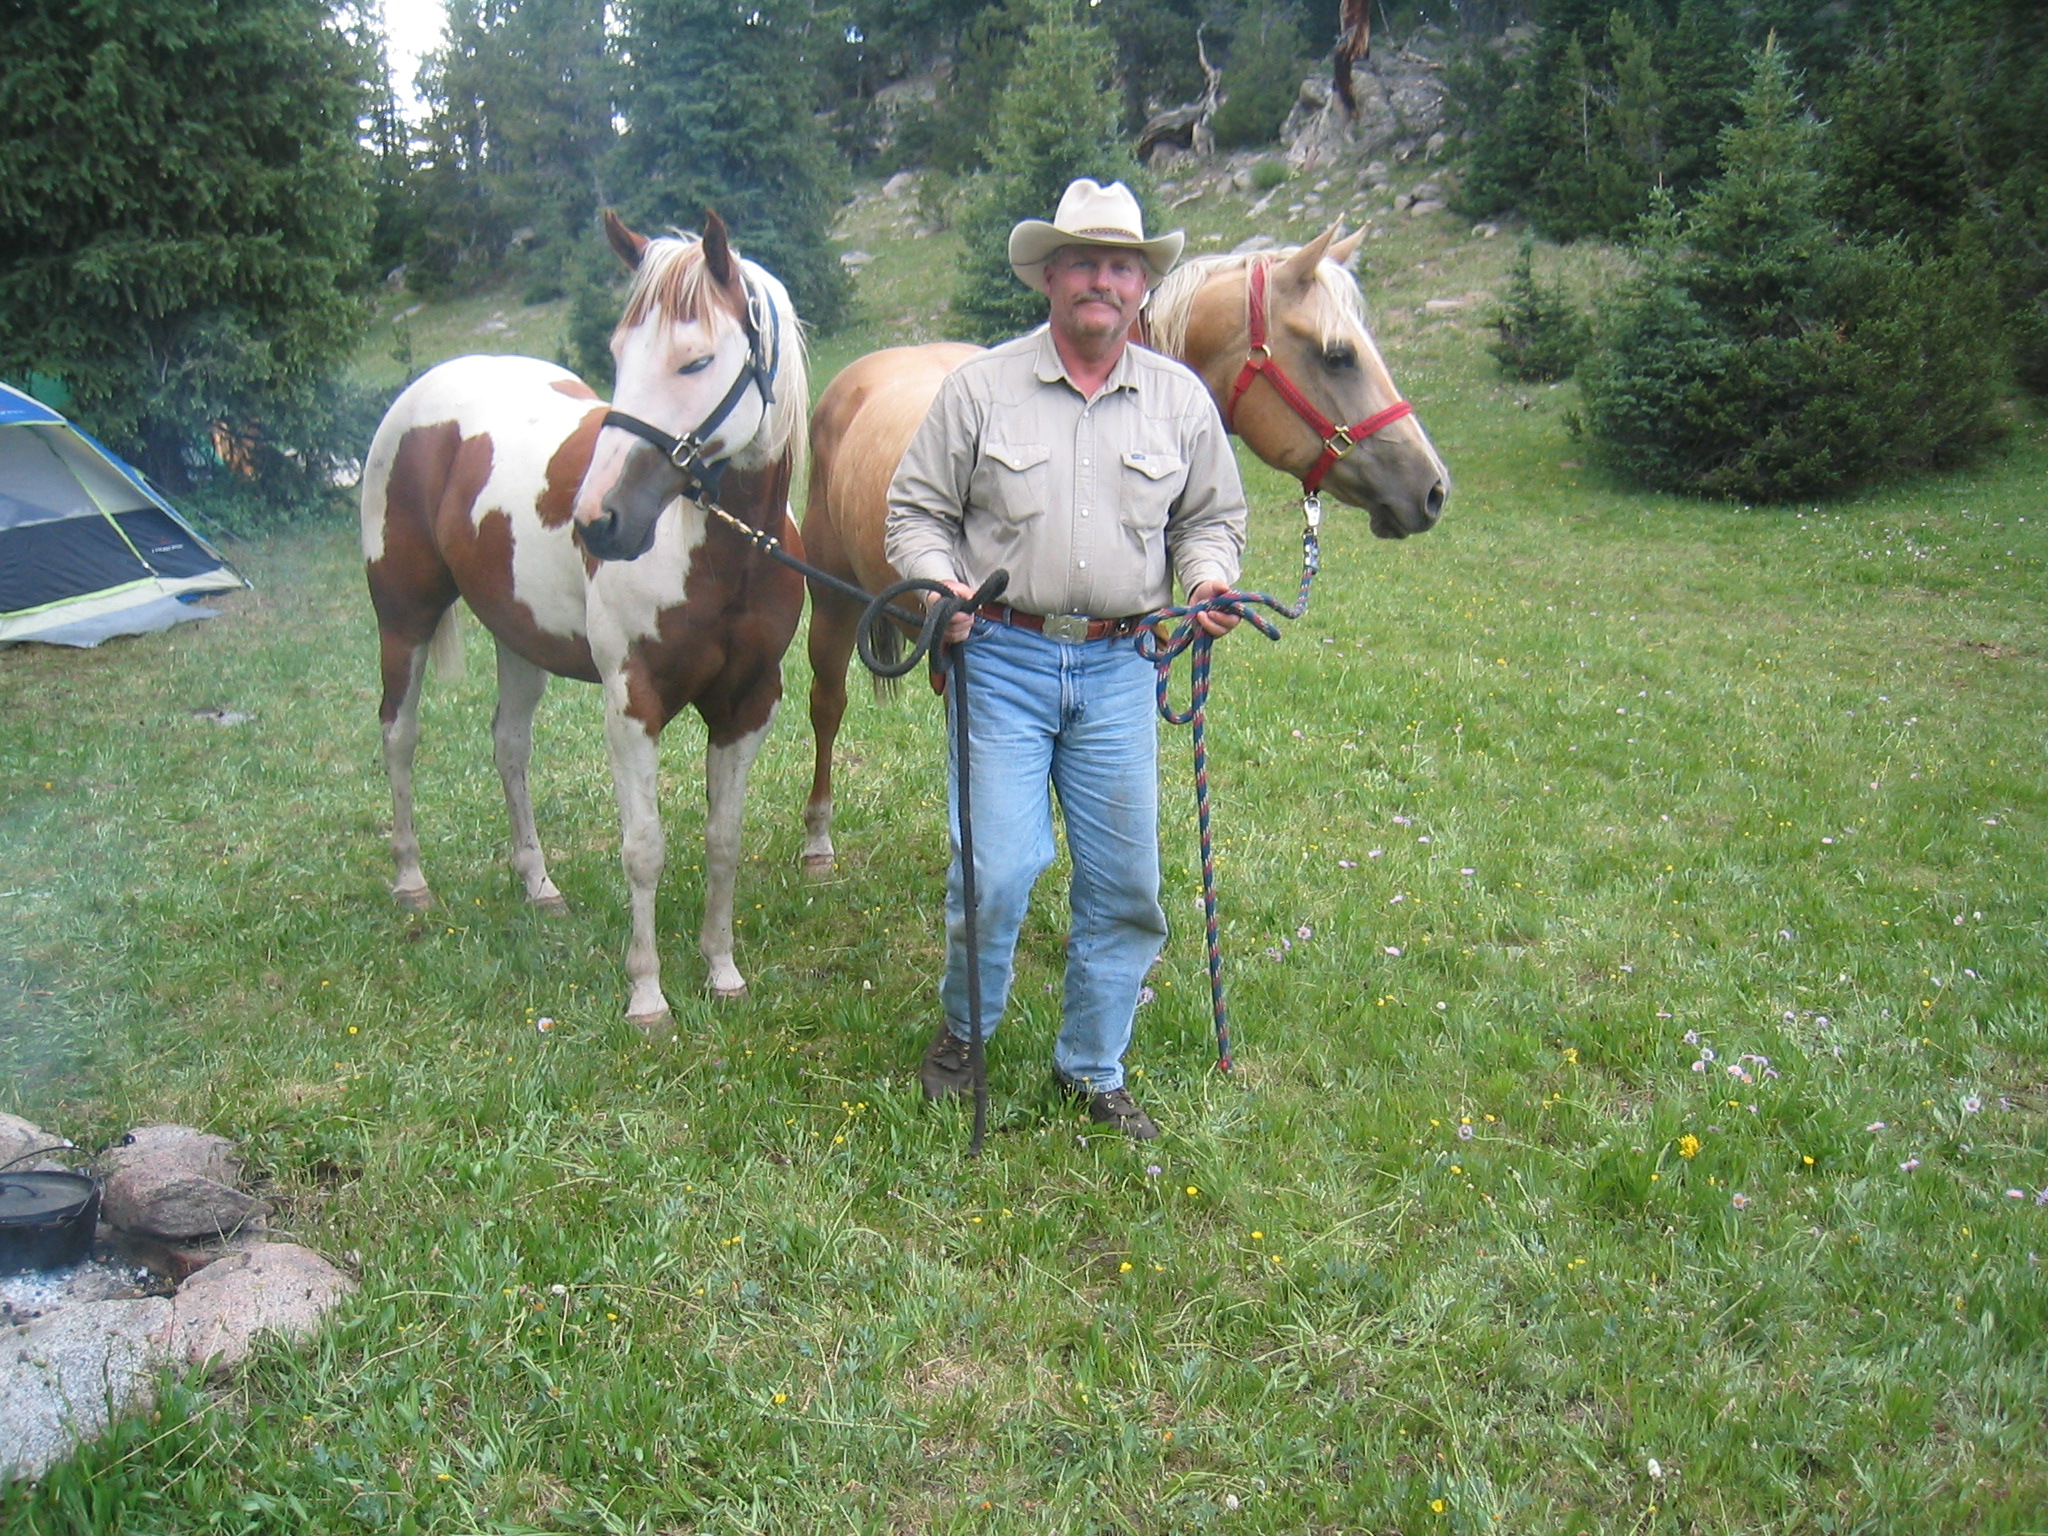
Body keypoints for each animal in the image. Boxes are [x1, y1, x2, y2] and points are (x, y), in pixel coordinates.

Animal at [360, 210, 806, 1028]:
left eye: (697, 362)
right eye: (620, 354)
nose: (600, 522)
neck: (724, 557)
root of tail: (427, 392)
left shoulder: (748, 703)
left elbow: (723, 840)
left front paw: (722, 970)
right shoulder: (633, 703)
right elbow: (644, 848)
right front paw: (647, 995)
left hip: (518, 636)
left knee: (509, 745)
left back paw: (538, 886)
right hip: (403, 620)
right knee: (398, 736)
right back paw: (411, 882)